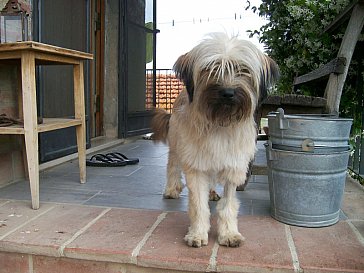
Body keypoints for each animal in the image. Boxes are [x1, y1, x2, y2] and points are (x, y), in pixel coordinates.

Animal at [151, 33, 278, 248]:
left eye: (243, 70)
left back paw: (211, 192)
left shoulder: (233, 167)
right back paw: (172, 188)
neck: (220, 122)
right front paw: (197, 233)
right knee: (172, 166)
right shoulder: (195, 165)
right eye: (211, 69)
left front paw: (229, 234)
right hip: (177, 144)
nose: (228, 93)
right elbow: (198, 205)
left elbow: (228, 205)